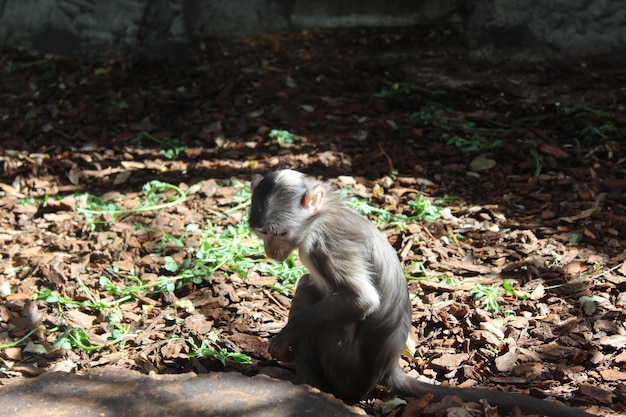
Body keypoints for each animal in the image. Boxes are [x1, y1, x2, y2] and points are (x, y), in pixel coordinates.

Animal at [249, 170, 596, 416]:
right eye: (261, 234)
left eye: (278, 233)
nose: (269, 251)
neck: (319, 217)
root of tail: (387, 368)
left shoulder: (324, 242)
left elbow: (360, 300)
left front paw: (283, 338)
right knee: (309, 286)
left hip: (345, 365)